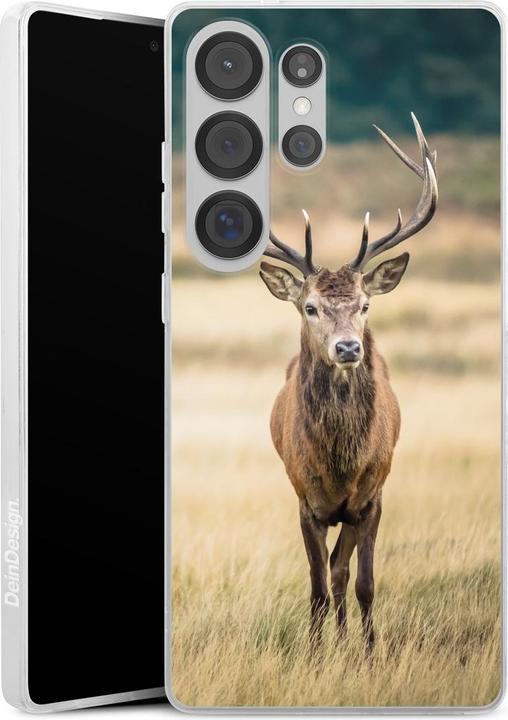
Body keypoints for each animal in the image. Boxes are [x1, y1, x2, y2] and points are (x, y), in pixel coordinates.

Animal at [259, 114, 438, 652]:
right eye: (310, 307)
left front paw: (370, 653)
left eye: (364, 304)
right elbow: (317, 585)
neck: (340, 463)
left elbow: (363, 583)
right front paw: (317, 655)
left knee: (343, 572)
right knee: (329, 575)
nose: (348, 348)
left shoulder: (372, 497)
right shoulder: (305, 499)